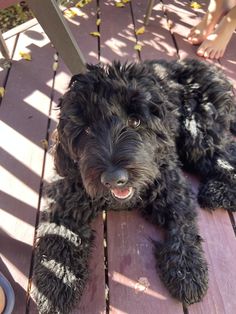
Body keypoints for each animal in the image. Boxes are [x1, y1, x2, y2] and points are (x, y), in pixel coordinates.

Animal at [32, 57, 236, 312]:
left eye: (135, 121)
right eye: (86, 129)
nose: (114, 177)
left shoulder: (173, 188)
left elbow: (183, 223)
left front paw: (187, 269)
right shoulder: (66, 199)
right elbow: (58, 237)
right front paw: (55, 284)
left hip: (198, 133)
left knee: (226, 154)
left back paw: (218, 191)